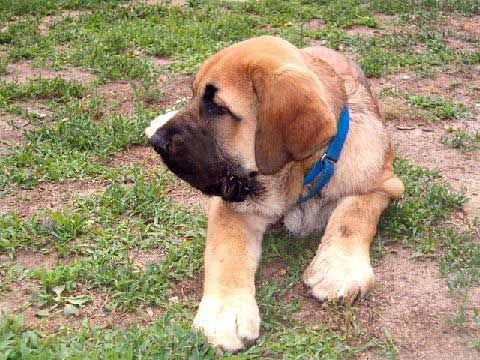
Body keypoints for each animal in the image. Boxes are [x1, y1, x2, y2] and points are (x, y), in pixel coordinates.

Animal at [146, 35, 404, 350]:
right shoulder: (232, 202)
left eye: (218, 107)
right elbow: (227, 251)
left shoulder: (384, 183)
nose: (158, 144)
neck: (301, 174)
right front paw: (225, 312)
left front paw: (338, 268)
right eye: (194, 95)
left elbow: (353, 216)